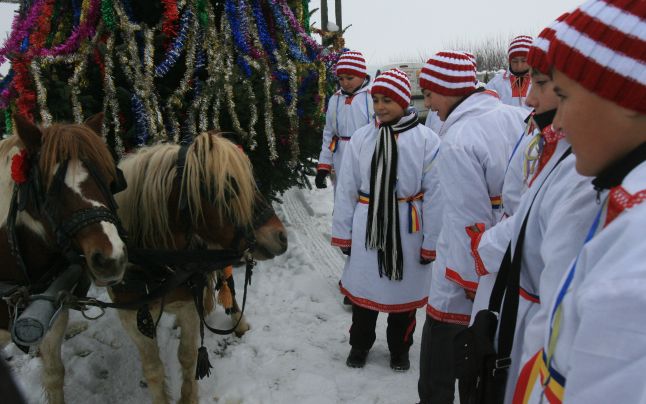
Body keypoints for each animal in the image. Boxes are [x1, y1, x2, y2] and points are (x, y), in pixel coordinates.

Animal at [111, 132, 288, 404]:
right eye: (228, 188)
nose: (281, 237)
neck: (155, 266)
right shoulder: (131, 318)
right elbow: (153, 370)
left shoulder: (187, 308)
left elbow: (188, 356)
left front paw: (188, 397)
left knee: (227, 285)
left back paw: (237, 319)